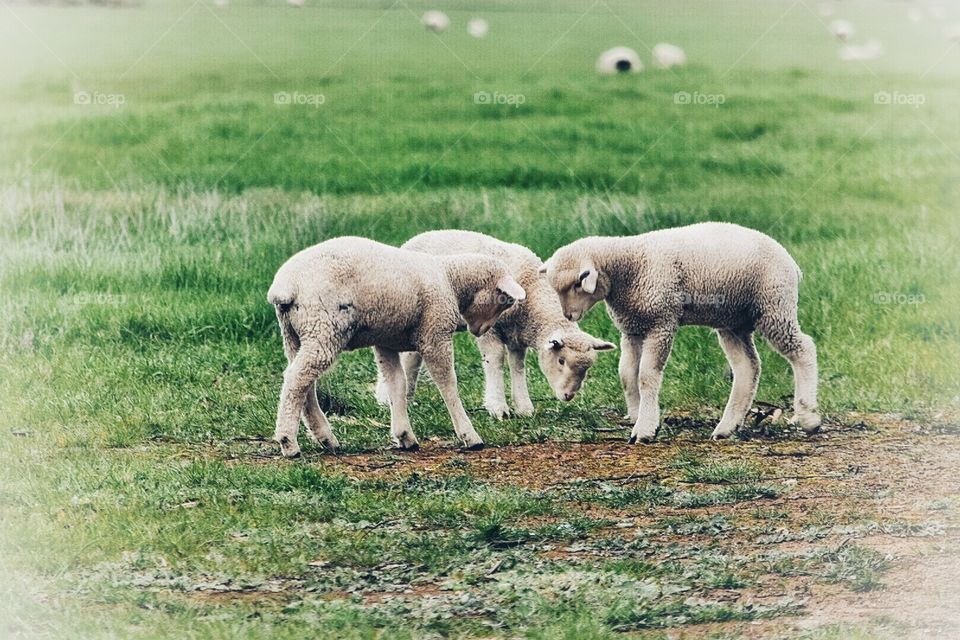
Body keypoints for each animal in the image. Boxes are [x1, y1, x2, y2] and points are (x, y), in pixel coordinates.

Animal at [268, 236, 525, 458]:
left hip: (295, 335)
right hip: (323, 326)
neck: (450, 279)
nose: (480, 331)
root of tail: (286, 287)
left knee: (304, 382)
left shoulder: (385, 341)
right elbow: (447, 384)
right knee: (297, 379)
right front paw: (469, 435)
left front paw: (404, 436)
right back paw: (288, 442)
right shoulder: (435, 334)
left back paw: (326, 439)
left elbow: (397, 384)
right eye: (505, 300)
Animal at [374, 230, 616, 419]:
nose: (568, 396)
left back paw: (406, 397)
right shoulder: (489, 328)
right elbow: (495, 359)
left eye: (587, 368)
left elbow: (518, 365)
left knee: (412, 357)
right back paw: (386, 398)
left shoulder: (518, 333)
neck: (533, 295)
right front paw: (498, 406)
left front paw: (523, 406)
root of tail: (411, 240)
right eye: (561, 360)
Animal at [540, 222, 820, 444]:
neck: (630, 266)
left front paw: (645, 429)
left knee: (803, 349)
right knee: (748, 368)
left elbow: (646, 376)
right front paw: (637, 414)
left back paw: (809, 417)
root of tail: (792, 263)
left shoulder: (661, 322)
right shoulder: (633, 328)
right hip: (733, 322)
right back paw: (726, 428)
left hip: (774, 306)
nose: (568, 316)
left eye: (578, 283)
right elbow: (627, 375)